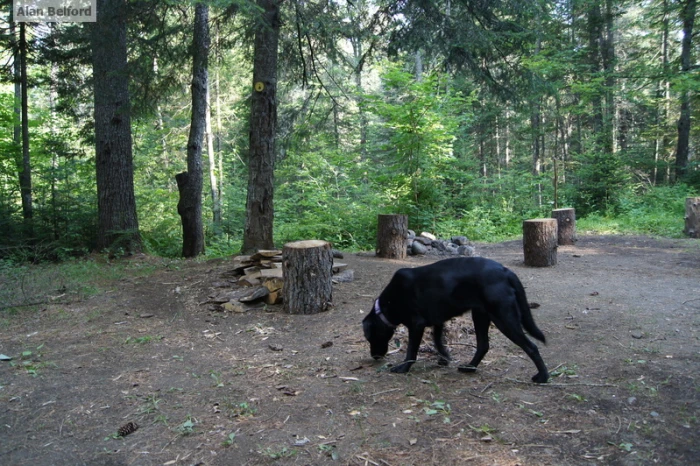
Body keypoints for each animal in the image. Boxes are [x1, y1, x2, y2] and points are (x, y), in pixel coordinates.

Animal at [364, 256, 548, 384]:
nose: (375, 356)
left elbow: (411, 351)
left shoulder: (417, 325)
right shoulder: (437, 321)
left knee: (531, 347)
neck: (387, 304)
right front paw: (444, 358)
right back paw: (470, 367)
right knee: (483, 345)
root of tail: (506, 271)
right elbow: (438, 342)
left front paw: (404, 368)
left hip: (503, 318)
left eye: (370, 337)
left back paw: (543, 376)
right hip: (480, 315)